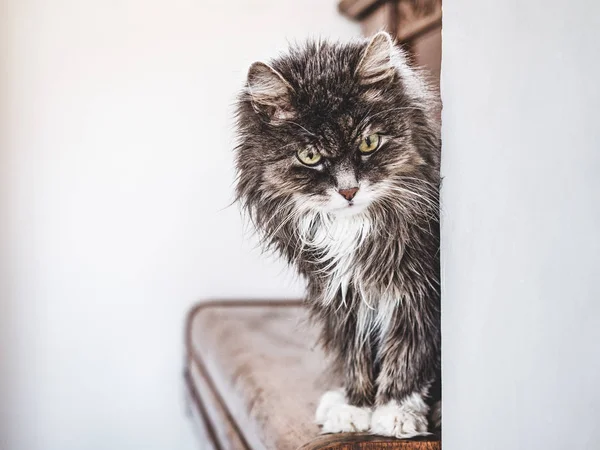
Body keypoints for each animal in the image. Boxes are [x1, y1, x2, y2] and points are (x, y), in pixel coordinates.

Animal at [234, 32, 440, 440]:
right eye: (310, 156)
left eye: (369, 143)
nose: (348, 191)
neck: (352, 228)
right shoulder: (338, 293)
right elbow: (354, 353)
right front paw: (355, 405)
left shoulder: (418, 292)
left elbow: (407, 352)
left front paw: (396, 411)